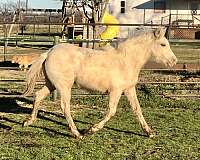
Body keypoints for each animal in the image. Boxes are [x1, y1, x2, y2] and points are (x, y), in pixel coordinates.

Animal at [23, 27, 177, 139]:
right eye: (163, 44)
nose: (174, 61)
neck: (126, 60)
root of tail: (49, 52)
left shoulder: (129, 89)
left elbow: (137, 109)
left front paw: (149, 132)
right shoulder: (116, 91)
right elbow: (111, 111)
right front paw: (91, 129)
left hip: (51, 84)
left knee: (38, 95)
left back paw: (29, 121)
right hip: (64, 86)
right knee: (65, 106)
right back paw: (77, 133)